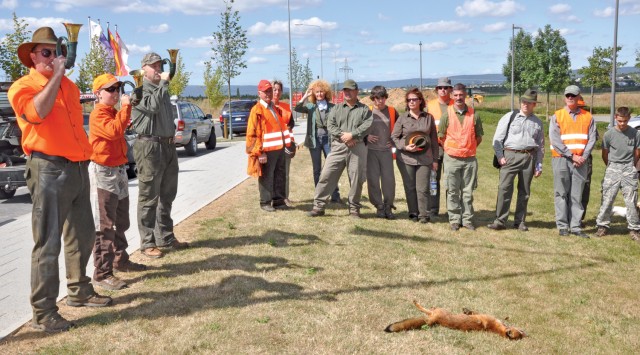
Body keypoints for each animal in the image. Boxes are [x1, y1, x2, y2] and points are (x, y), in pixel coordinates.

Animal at [384, 302, 524, 340]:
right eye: (521, 333)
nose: (525, 332)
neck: (496, 328)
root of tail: (436, 321)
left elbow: (474, 312)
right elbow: (472, 311)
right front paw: (467, 310)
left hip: (436, 311)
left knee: (425, 309)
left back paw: (415, 302)